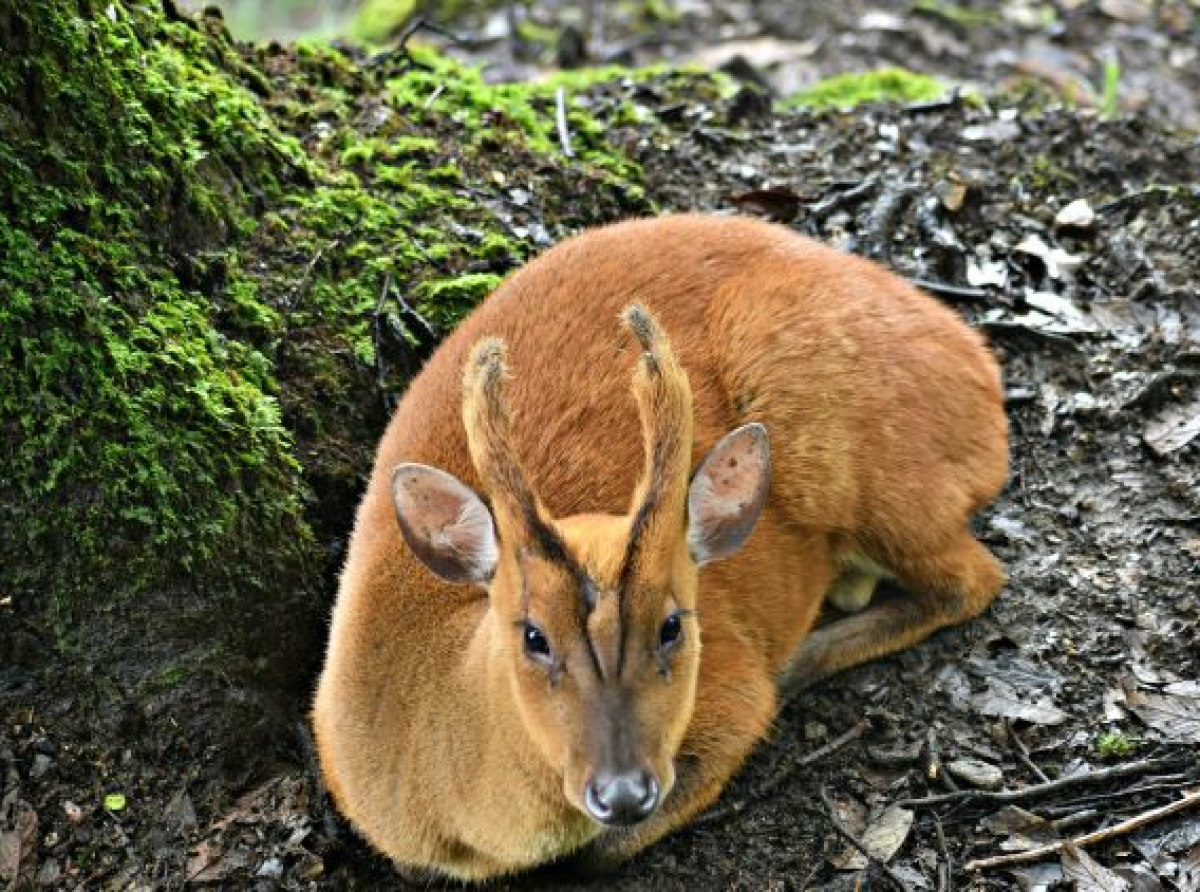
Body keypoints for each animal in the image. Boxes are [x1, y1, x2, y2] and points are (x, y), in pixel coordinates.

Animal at [312, 212, 1012, 883]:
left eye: (674, 624)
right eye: (533, 635)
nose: (622, 790)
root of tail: (981, 366)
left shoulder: (732, 696)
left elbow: (600, 853)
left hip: (868, 467)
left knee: (974, 577)